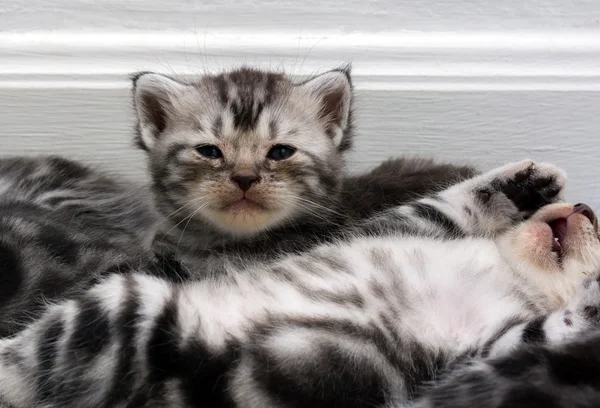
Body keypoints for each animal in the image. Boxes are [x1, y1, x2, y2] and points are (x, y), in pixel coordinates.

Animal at [1, 159, 600, 408]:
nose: (588, 209)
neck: (508, 271)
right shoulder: (401, 224)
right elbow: (453, 200)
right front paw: (526, 184)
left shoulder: (478, 355)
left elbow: (545, 332)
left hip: (125, 310)